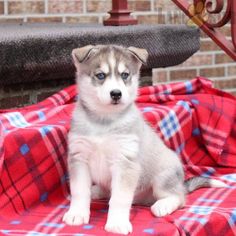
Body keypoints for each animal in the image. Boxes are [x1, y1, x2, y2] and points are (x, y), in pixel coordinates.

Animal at [61, 44, 226, 234]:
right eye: (100, 75)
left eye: (125, 75)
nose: (116, 94)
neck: (104, 121)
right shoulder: (79, 157)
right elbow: (80, 191)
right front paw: (77, 214)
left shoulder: (125, 162)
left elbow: (120, 198)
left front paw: (117, 223)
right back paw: (96, 191)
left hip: (163, 177)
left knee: (179, 197)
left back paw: (163, 205)